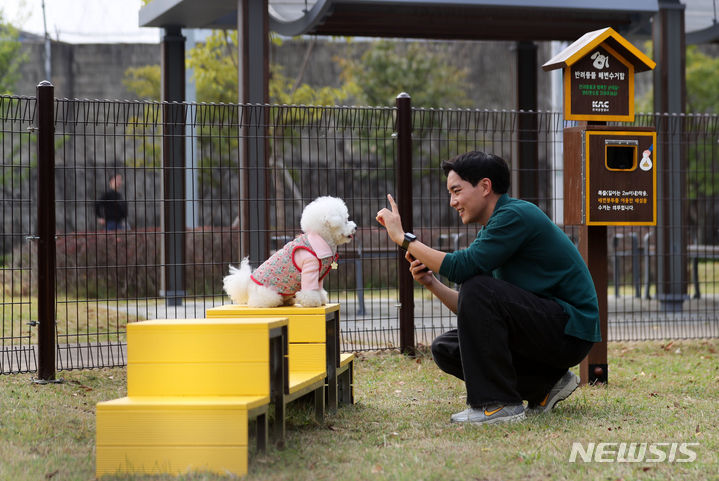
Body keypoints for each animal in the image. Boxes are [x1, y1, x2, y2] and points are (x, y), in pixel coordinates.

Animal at [222, 196, 358, 306]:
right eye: (346, 220)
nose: (356, 227)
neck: (321, 238)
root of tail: (248, 284)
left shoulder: (319, 275)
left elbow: (318, 288)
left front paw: (322, 299)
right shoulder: (310, 268)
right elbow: (310, 289)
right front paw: (312, 302)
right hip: (270, 293)